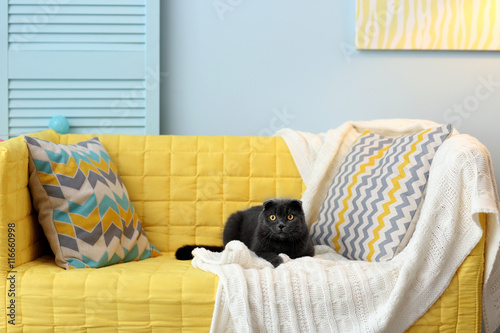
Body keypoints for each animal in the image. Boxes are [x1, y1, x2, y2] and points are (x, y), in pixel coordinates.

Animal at [176, 197, 314, 268]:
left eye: (290, 217)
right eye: (273, 217)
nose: (281, 225)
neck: (282, 244)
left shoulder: (308, 251)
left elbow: (300, 256)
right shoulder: (258, 248)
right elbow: (269, 254)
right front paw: (279, 261)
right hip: (232, 222)